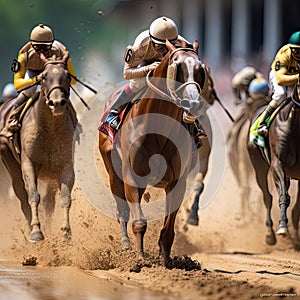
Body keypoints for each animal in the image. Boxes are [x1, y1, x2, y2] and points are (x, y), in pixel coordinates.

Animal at [0, 51, 76, 243]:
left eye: (67, 76)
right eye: (44, 77)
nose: (57, 103)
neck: (49, 129)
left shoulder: (65, 165)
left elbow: (65, 197)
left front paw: (66, 232)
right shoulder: (28, 162)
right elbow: (33, 195)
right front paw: (36, 232)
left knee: (49, 202)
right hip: (8, 157)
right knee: (21, 194)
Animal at [99, 39, 212, 260]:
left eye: (199, 69)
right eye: (178, 67)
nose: (194, 103)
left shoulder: (178, 180)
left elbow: (168, 226)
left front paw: (165, 258)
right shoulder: (132, 176)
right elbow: (139, 221)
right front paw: (140, 258)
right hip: (113, 170)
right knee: (122, 209)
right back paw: (125, 243)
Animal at [247, 63, 300, 246]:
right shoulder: (277, 163)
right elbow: (283, 196)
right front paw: (283, 227)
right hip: (259, 167)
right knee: (267, 197)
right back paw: (270, 233)